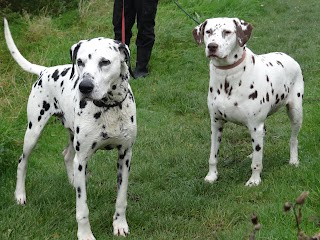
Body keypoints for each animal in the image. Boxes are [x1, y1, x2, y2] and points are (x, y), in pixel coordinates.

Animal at [4, 17, 136, 239]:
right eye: (80, 62)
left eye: (105, 62)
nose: (85, 87)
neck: (108, 108)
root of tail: (45, 71)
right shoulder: (82, 159)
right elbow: (82, 209)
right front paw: (85, 234)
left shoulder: (124, 156)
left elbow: (121, 198)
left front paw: (120, 224)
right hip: (33, 132)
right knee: (22, 162)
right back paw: (20, 194)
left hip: (71, 135)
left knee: (66, 155)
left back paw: (74, 182)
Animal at [192, 17, 304, 187]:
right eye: (208, 31)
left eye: (227, 32)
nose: (212, 46)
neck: (228, 78)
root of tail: (288, 56)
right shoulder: (216, 124)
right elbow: (213, 156)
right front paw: (212, 176)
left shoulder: (255, 125)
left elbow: (257, 163)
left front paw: (254, 180)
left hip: (295, 112)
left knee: (293, 139)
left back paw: (293, 160)